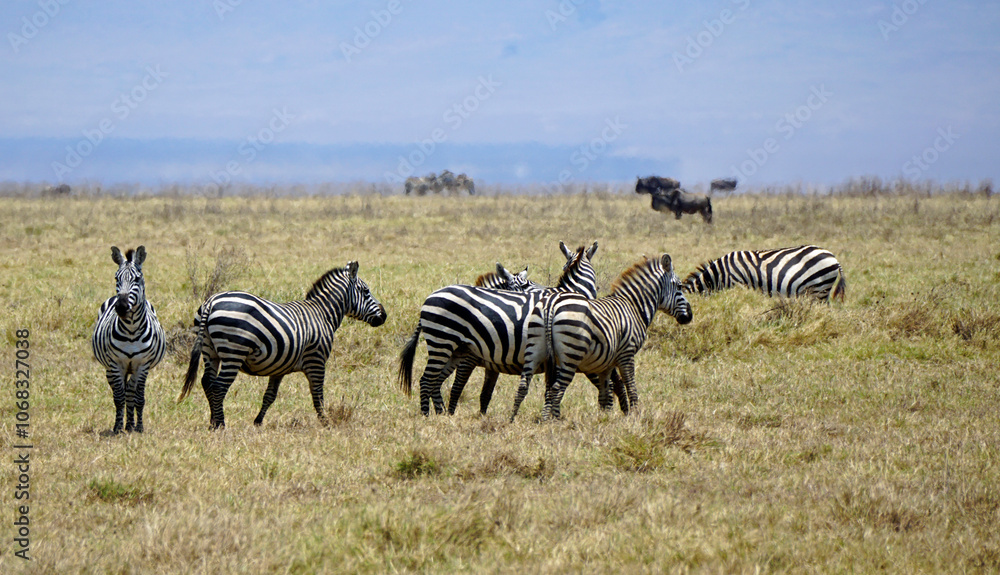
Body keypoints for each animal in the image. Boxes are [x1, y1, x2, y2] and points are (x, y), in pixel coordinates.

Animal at [91, 246, 166, 434]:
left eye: (137, 279)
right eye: (116, 278)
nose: (122, 307)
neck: (131, 330)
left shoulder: (143, 365)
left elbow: (139, 398)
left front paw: (138, 427)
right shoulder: (116, 364)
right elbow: (119, 398)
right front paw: (117, 428)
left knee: (131, 392)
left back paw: (131, 424)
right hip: (111, 369)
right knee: (123, 392)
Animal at [177, 261, 387, 429]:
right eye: (366, 291)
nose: (384, 316)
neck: (322, 314)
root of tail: (211, 302)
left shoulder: (278, 367)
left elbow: (269, 396)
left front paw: (258, 422)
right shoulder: (317, 360)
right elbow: (318, 395)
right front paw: (325, 423)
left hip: (209, 350)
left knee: (207, 382)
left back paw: (212, 422)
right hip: (233, 352)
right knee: (219, 386)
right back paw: (220, 425)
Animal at [398, 241, 630, 416]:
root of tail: (430, 297)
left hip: (452, 349)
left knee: (436, 382)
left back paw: (439, 414)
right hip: (444, 343)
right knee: (428, 380)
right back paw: (428, 416)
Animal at [511, 253, 692, 422]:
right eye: (679, 286)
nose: (689, 316)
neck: (634, 307)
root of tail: (551, 304)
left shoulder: (607, 362)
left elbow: (606, 389)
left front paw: (604, 417)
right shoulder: (627, 353)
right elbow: (629, 384)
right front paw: (635, 414)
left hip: (535, 348)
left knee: (524, 385)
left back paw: (514, 419)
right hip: (571, 353)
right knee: (556, 388)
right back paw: (553, 420)